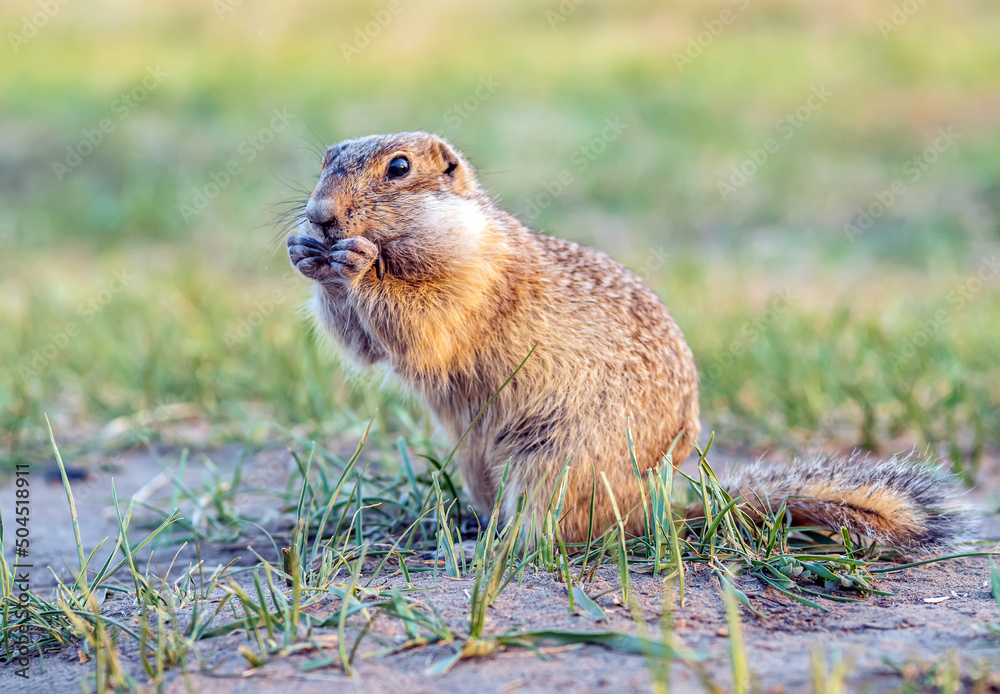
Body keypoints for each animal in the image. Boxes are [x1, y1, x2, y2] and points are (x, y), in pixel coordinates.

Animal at [288, 130, 968, 556]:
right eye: (323, 159)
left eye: (399, 167)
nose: (319, 215)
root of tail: (651, 509)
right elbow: (366, 345)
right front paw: (304, 252)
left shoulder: (471, 277)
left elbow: (425, 322)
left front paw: (355, 262)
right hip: (479, 461)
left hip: (554, 459)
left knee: (558, 534)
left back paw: (496, 548)